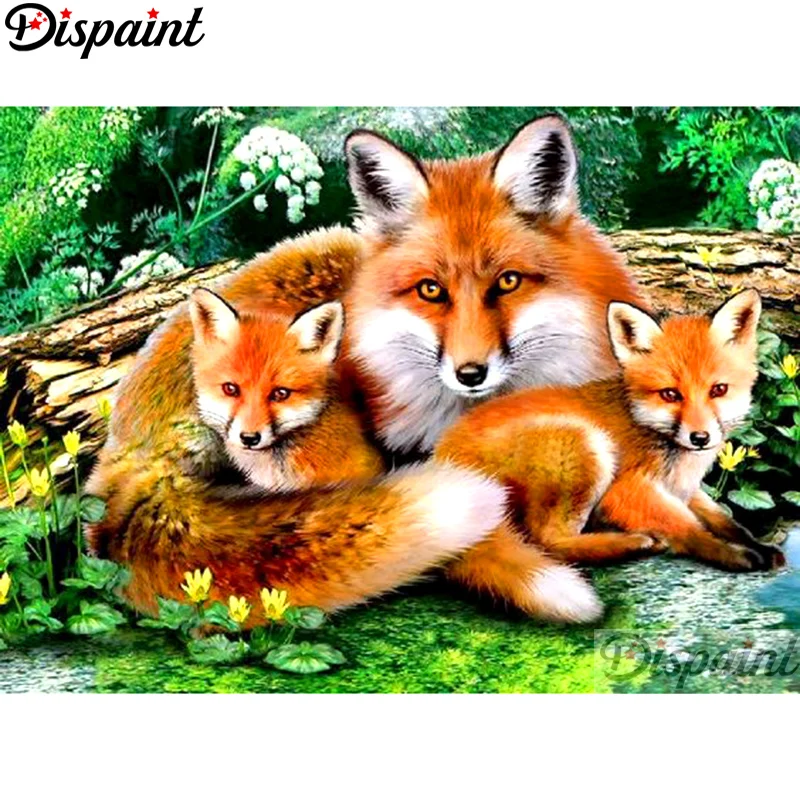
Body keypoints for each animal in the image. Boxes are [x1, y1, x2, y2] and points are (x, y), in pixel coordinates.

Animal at [436, 289, 785, 598]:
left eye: (718, 390)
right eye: (671, 394)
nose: (700, 438)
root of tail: (443, 456)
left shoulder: (684, 489)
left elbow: (724, 520)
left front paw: (756, 544)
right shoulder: (626, 491)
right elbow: (689, 528)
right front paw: (730, 553)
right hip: (586, 445)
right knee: (548, 542)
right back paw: (633, 543)